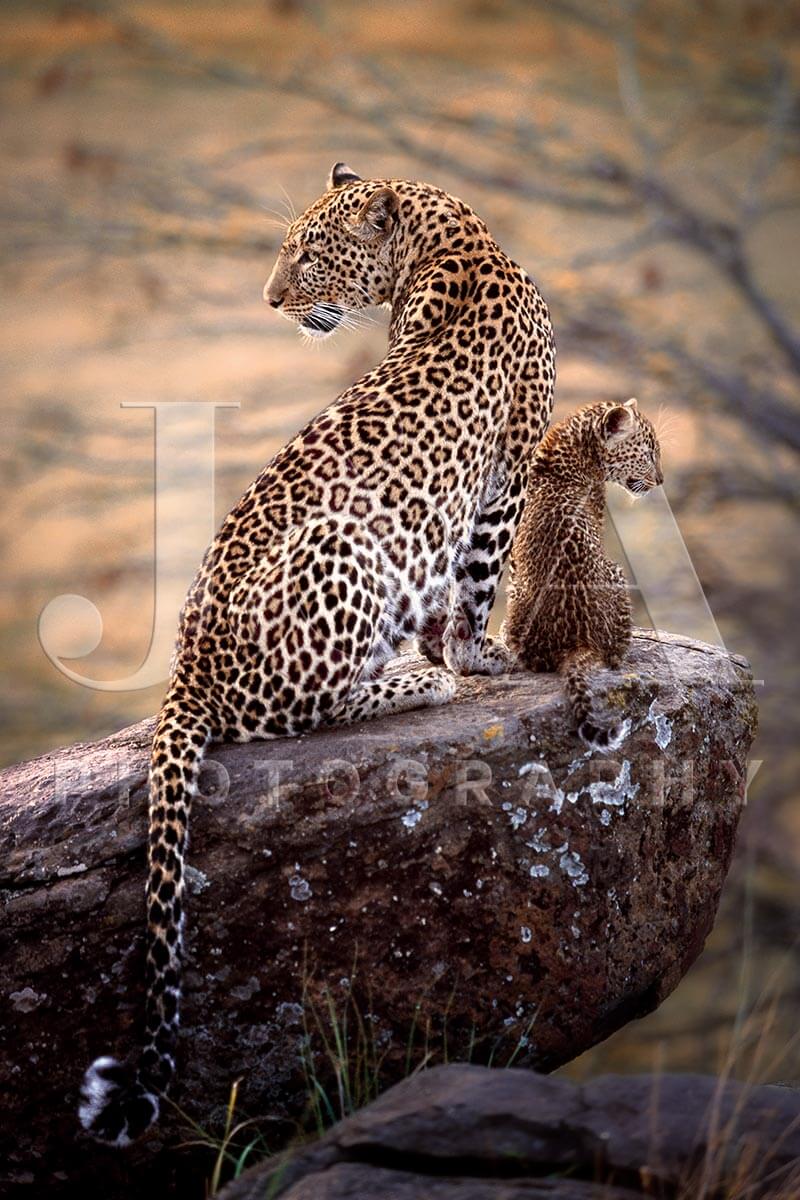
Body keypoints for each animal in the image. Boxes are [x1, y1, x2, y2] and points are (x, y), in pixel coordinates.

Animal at [78, 162, 555, 1144]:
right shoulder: (506, 477)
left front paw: (461, 649)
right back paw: (411, 687)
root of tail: (185, 670)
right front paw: (476, 659)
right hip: (341, 545)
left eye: (306, 252)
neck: (453, 243)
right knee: (305, 709)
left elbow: (459, 587)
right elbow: (478, 581)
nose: (269, 299)